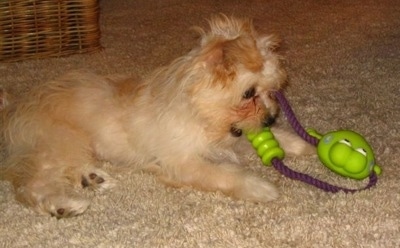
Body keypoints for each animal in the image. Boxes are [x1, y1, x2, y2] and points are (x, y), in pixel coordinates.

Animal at [0, 15, 312, 217]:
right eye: (248, 94)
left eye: (272, 92)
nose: (270, 119)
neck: (200, 114)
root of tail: (14, 106)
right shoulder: (183, 161)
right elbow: (223, 173)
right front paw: (260, 187)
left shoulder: (229, 137)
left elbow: (260, 140)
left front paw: (300, 144)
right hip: (61, 141)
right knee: (30, 184)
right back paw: (64, 205)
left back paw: (92, 178)